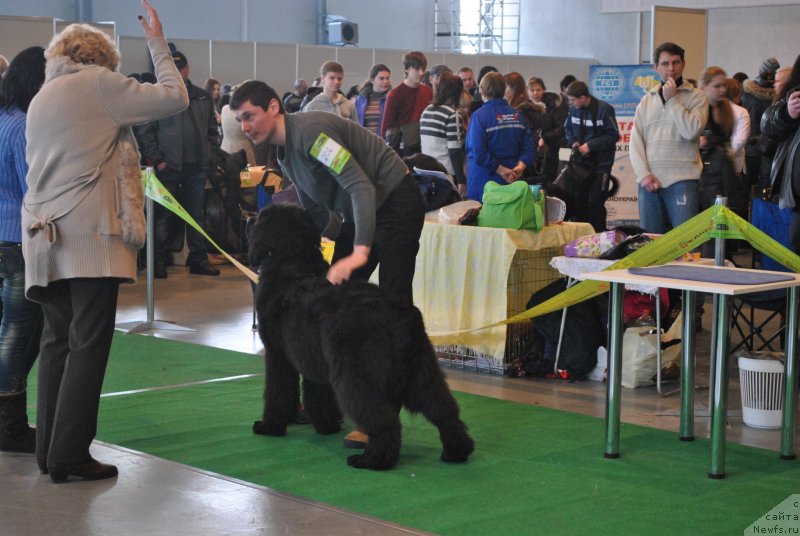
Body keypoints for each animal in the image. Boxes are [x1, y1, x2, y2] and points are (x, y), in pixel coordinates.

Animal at [250, 204, 472, 468]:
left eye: (261, 216)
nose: (250, 218)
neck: (293, 264)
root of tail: (397, 312)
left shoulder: (278, 356)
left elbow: (278, 392)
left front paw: (270, 426)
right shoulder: (315, 363)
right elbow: (319, 396)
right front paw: (327, 425)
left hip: (356, 375)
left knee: (383, 419)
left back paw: (373, 459)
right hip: (421, 369)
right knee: (443, 409)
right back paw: (456, 450)